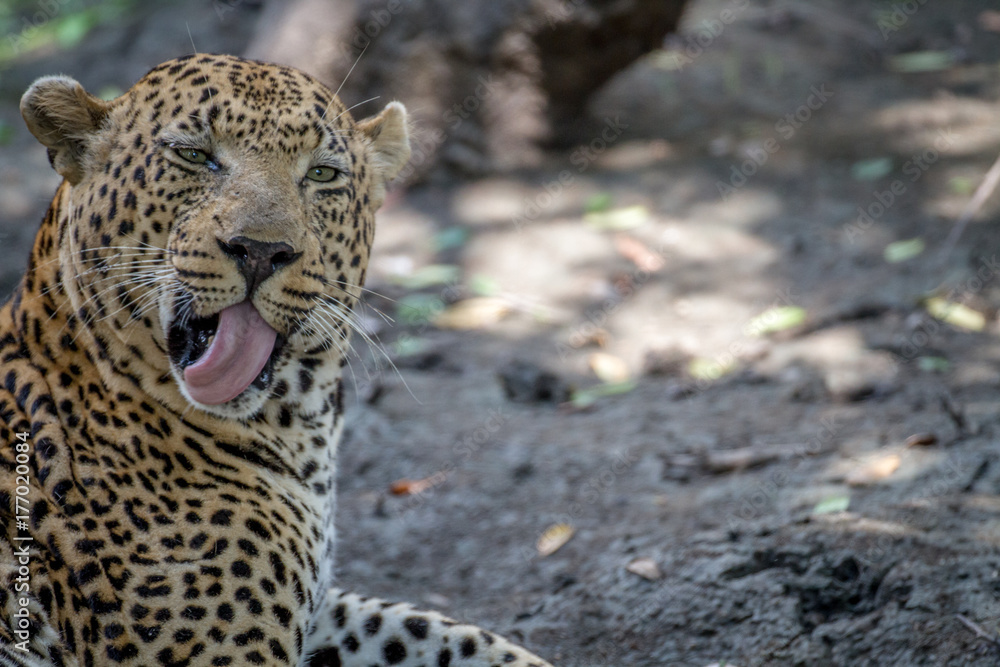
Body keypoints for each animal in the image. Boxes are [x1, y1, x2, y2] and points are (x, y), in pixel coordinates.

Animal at [0, 53, 553, 667]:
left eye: (323, 174)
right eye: (193, 155)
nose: (262, 251)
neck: (298, 427)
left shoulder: (320, 611)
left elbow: (441, 633)